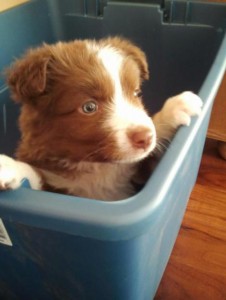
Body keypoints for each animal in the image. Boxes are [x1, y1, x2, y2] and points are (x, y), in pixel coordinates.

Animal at [0, 38, 202, 202]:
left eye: (136, 93)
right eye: (89, 107)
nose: (145, 138)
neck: (96, 166)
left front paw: (175, 108)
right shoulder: (57, 186)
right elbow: (36, 176)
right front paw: (9, 166)